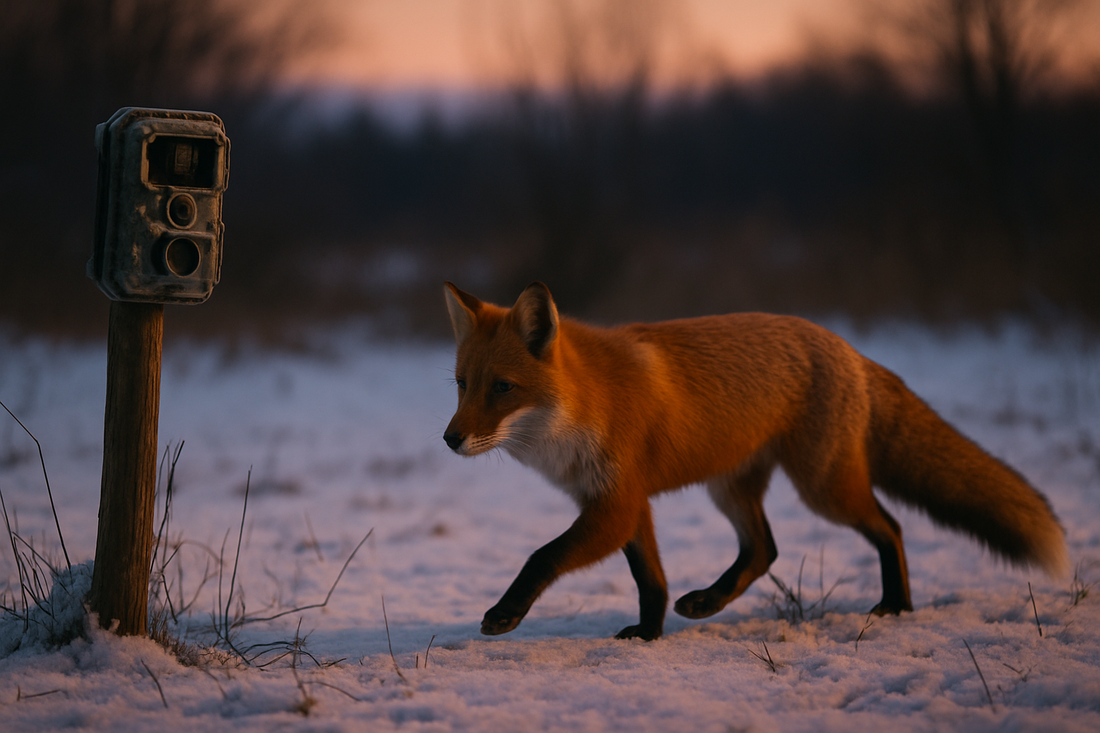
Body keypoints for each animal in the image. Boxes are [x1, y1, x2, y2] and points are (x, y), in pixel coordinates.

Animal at [442, 281, 1068, 641]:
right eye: (462, 385)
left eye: (502, 388)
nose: (449, 439)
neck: (585, 403)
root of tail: (847, 348)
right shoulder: (624, 502)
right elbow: (651, 580)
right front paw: (648, 634)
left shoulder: (614, 505)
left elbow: (541, 556)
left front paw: (506, 613)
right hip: (732, 489)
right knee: (765, 548)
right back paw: (708, 601)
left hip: (823, 488)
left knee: (889, 526)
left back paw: (896, 606)